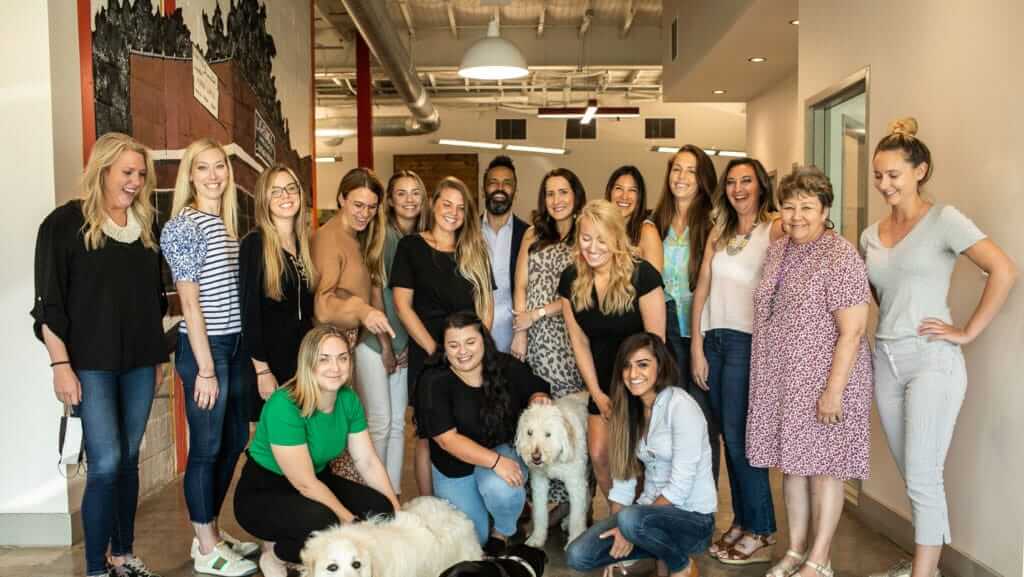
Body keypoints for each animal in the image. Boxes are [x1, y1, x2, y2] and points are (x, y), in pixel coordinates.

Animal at [516, 391, 589, 549]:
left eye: (548, 434)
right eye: (529, 432)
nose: (535, 457)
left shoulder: (576, 483)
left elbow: (577, 515)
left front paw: (574, 540)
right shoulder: (539, 482)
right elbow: (539, 513)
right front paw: (537, 537)